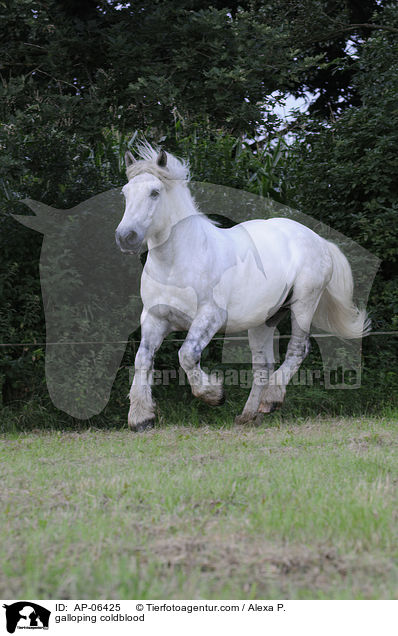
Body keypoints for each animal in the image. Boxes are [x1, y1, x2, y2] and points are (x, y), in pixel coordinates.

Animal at [116, 144, 370, 432]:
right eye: (125, 192)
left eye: (155, 192)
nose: (125, 237)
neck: (176, 262)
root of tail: (318, 240)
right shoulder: (154, 318)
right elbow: (142, 359)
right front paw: (141, 417)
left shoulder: (210, 316)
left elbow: (187, 355)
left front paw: (214, 395)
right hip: (264, 320)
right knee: (263, 364)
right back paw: (250, 415)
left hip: (304, 303)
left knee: (297, 349)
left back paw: (271, 400)